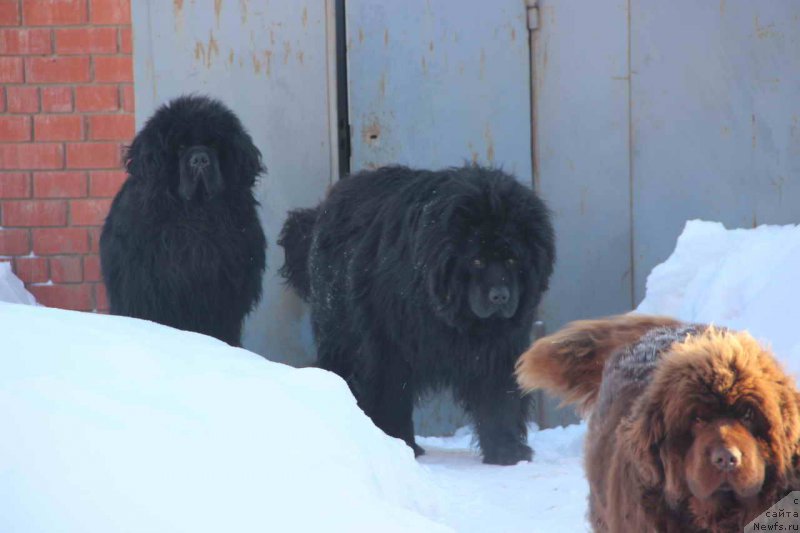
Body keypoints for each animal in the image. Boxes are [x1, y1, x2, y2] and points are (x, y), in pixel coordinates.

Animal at [278, 164, 552, 464]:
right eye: (477, 260)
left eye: (512, 259)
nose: (500, 296)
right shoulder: (390, 349)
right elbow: (393, 396)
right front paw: (401, 444)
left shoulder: (500, 349)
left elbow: (499, 400)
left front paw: (506, 451)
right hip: (343, 338)